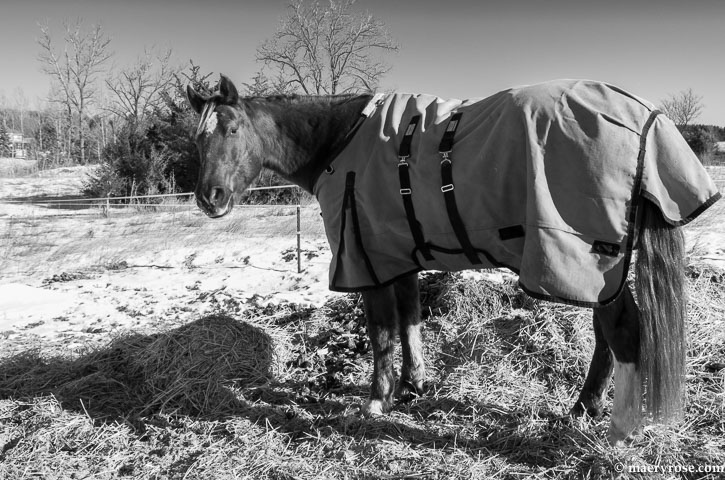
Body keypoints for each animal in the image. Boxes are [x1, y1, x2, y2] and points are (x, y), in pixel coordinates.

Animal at [185, 75, 720, 446]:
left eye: (231, 128)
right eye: (197, 138)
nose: (209, 199)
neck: (344, 142)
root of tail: (643, 114)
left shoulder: (365, 258)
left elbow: (380, 332)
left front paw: (376, 401)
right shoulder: (398, 254)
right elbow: (409, 320)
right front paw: (412, 386)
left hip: (588, 260)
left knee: (623, 332)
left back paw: (621, 429)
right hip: (600, 270)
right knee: (607, 336)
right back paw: (583, 409)